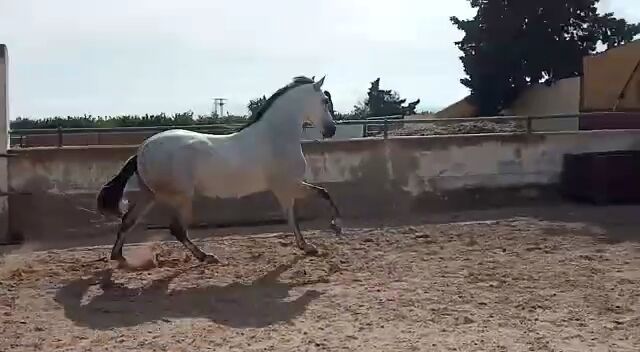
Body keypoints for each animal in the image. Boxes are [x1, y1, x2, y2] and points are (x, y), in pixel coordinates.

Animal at [96, 77, 340, 264]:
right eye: (324, 100)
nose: (331, 130)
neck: (275, 136)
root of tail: (142, 151)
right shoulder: (289, 185)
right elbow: (321, 196)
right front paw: (334, 228)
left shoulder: (285, 189)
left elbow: (295, 214)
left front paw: (307, 245)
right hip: (180, 197)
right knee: (176, 228)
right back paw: (205, 256)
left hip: (150, 195)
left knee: (128, 220)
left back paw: (118, 257)